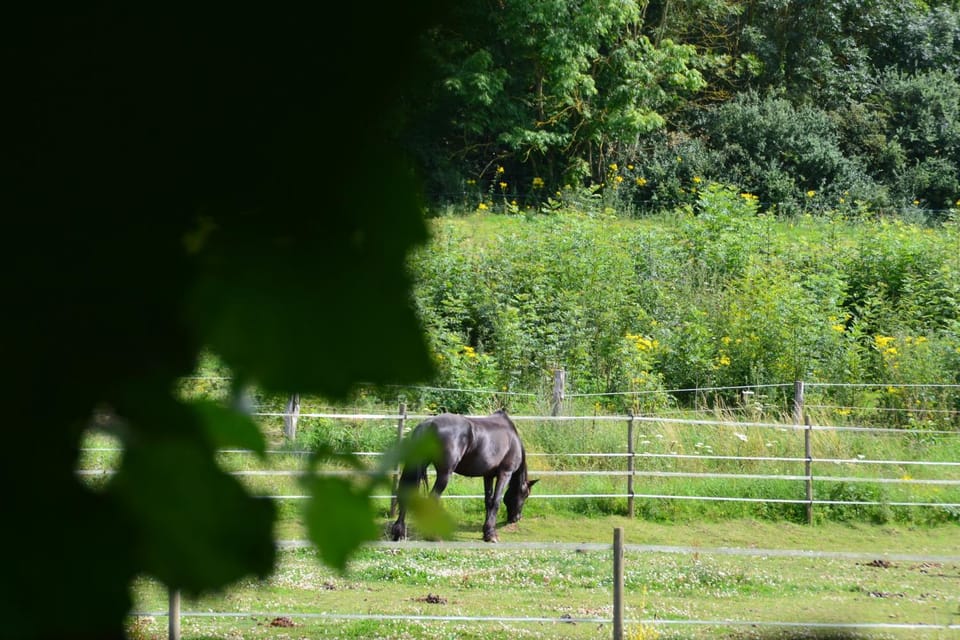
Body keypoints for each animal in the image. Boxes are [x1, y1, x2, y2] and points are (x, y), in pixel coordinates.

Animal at [390, 409, 537, 542]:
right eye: (525, 495)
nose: (516, 518)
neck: (512, 439)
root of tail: (429, 424)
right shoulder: (505, 473)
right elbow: (496, 501)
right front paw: (491, 535)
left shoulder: (488, 475)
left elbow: (488, 501)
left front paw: (486, 533)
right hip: (444, 475)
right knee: (433, 499)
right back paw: (432, 536)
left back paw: (399, 533)